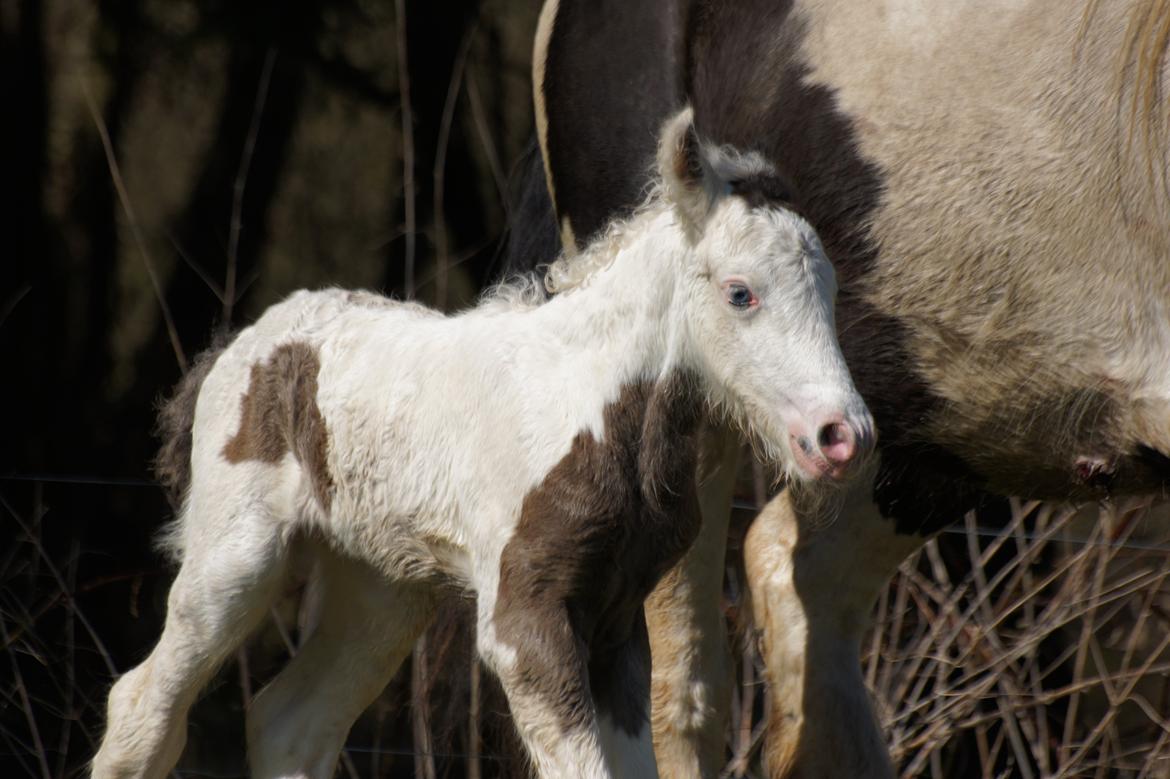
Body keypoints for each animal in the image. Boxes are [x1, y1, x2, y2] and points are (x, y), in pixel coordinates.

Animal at [91, 109, 875, 776]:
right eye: (741, 293)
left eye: (832, 291)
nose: (843, 436)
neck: (588, 408)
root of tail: (240, 344)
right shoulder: (524, 620)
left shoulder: (617, 621)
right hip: (236, 556)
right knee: (142, 710)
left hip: (381, 585)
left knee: (293, 722)